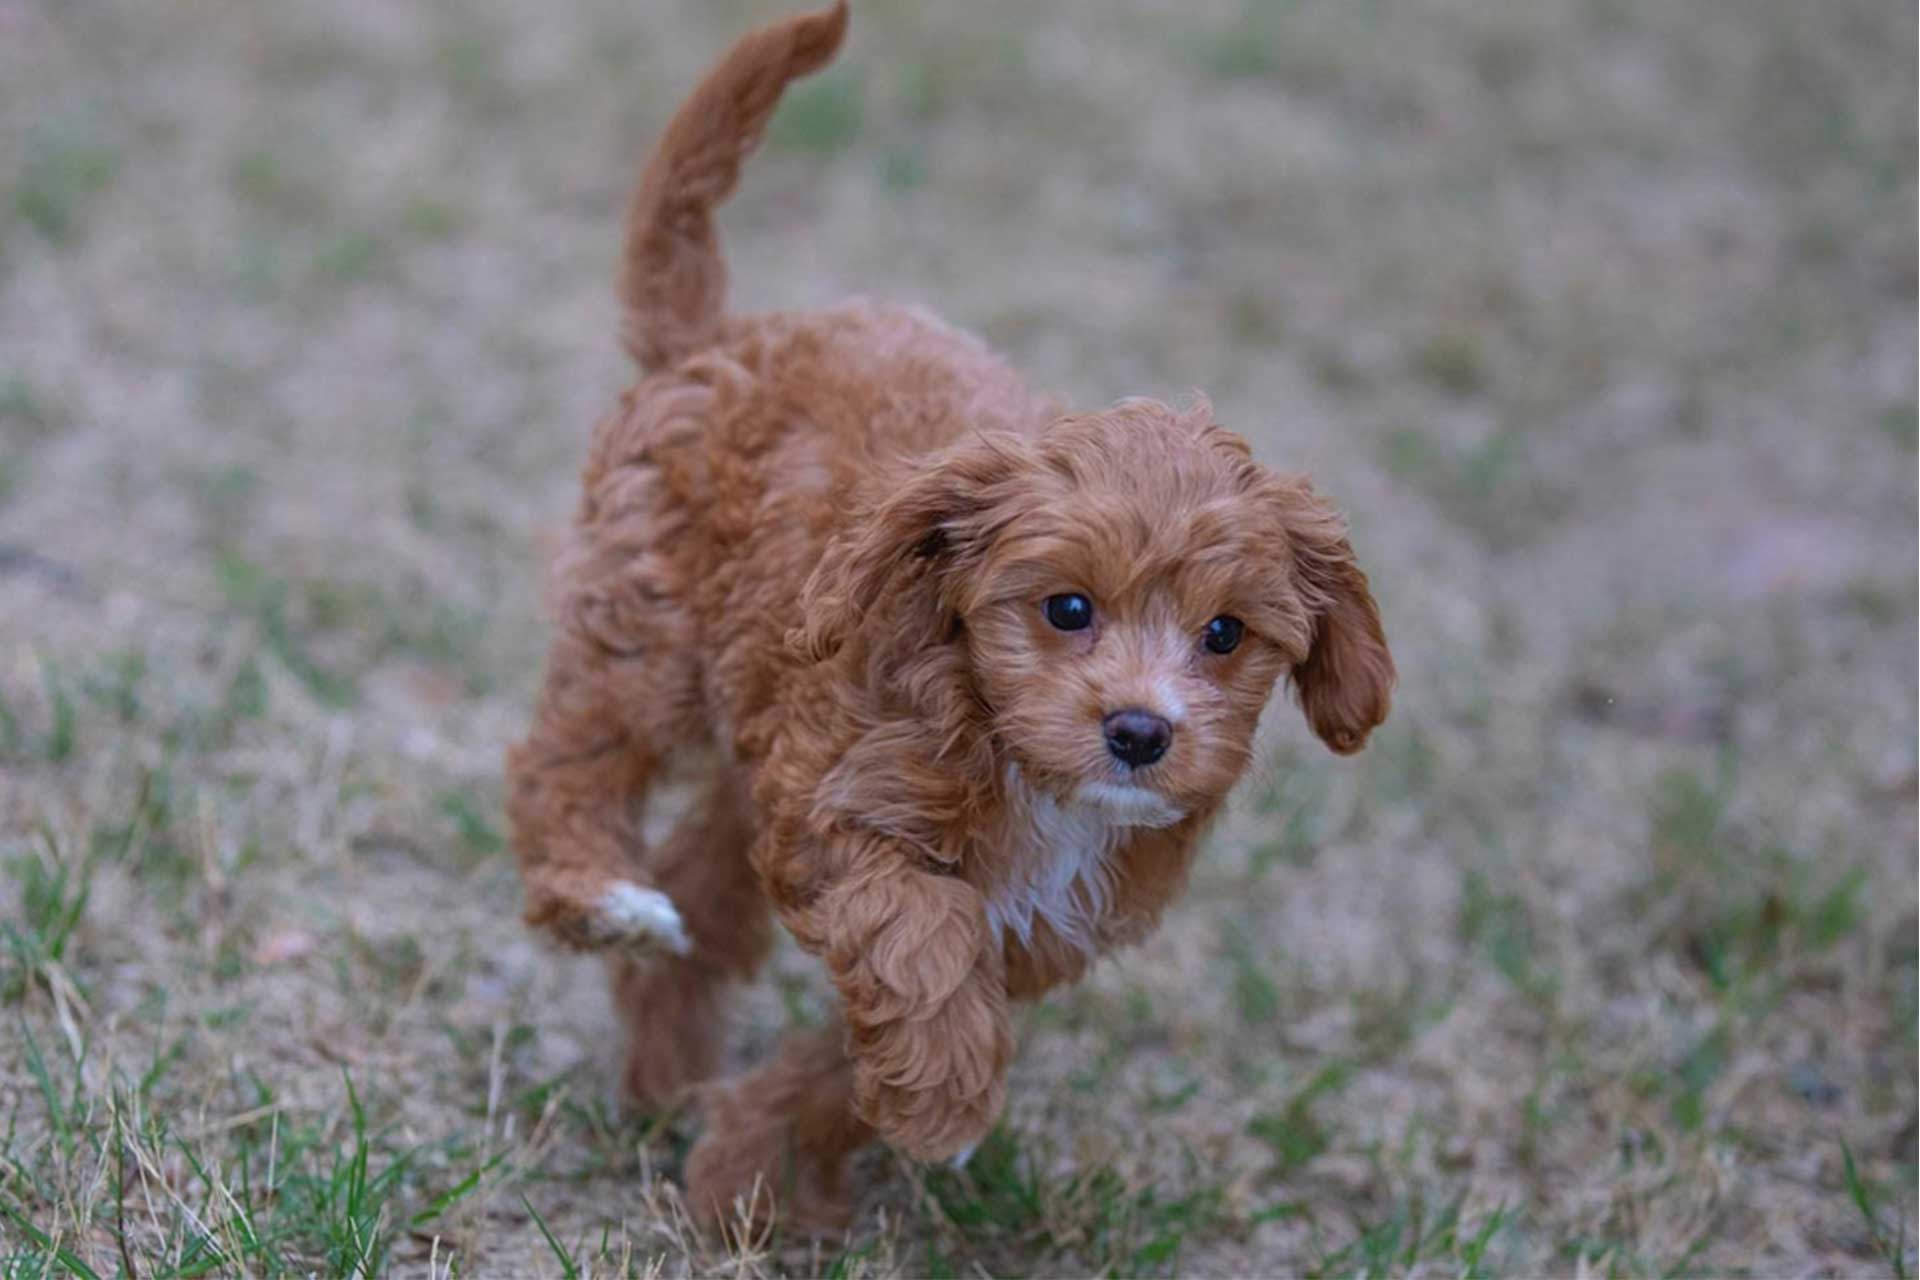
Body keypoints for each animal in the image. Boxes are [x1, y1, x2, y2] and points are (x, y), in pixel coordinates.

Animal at [503, 0, 1390, 1228]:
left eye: (1225, 634)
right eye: (1067, 607)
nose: (1141, 733)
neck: (1026, 767)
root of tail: (726, 336)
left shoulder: (1037, 931)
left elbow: (867, 1041)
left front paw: (760, 1165)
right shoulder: (841, 812)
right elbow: (920, 938)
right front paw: (935, 1108)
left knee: (696, 889)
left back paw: (668, 1078)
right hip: (647, 624)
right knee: (569, 762)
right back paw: (598, 896)